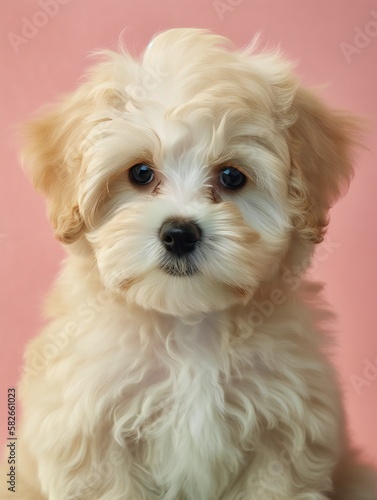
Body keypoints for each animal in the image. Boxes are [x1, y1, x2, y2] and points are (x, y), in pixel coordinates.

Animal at [1, 28, 374, 500]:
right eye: (140, 173)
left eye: (232, 176)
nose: (179, 233)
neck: (190, 322)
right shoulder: (92, 432)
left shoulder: (284, 433)